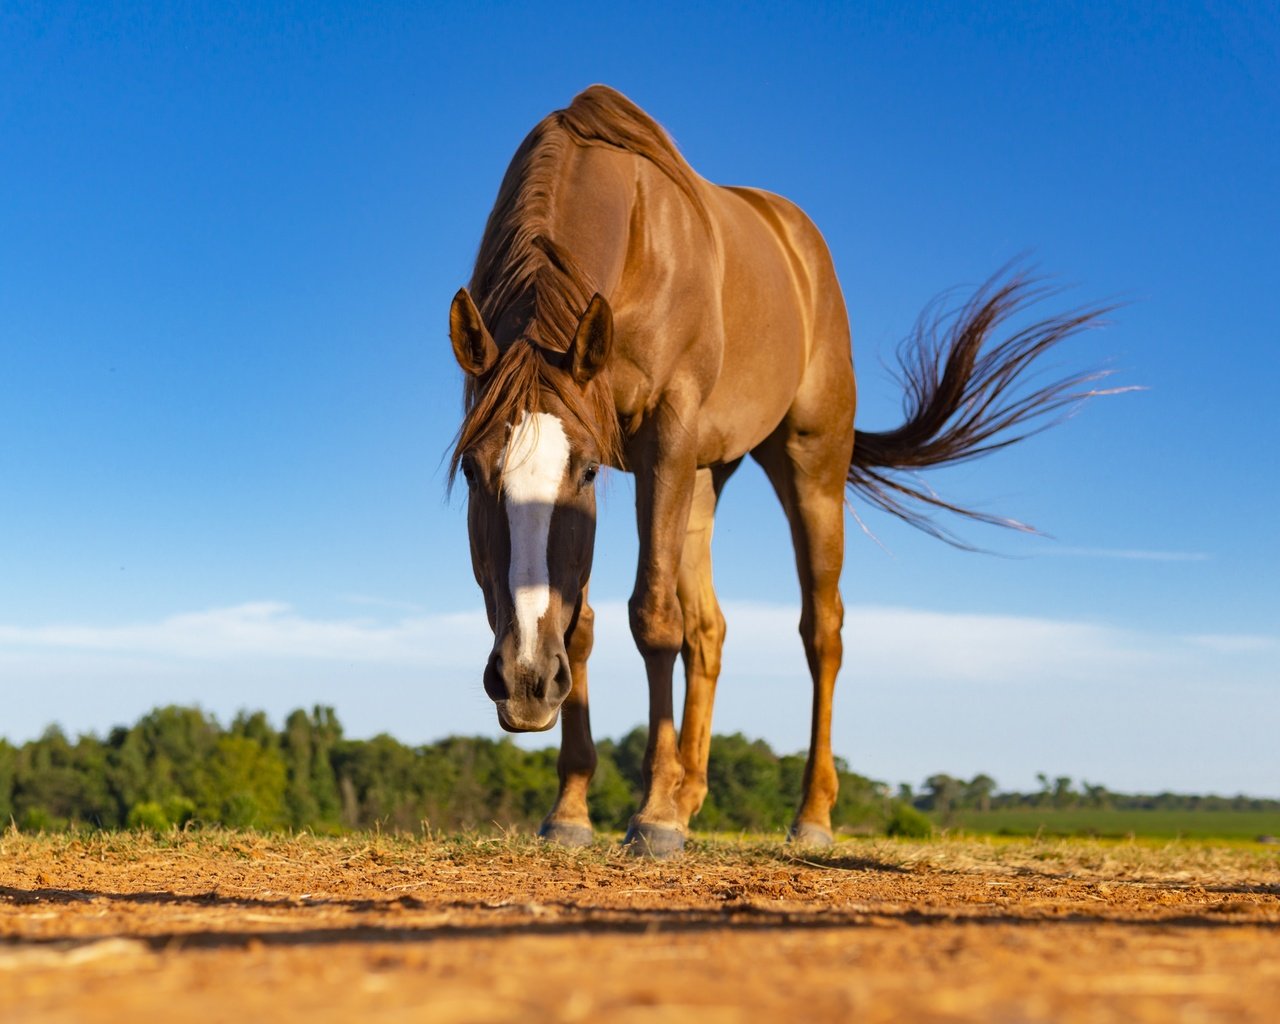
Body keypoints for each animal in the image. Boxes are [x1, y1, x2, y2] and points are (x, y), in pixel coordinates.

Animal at [448, 85, 1111, 855]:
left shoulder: (663, 439)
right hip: (706, 476)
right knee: (709, 629)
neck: (635, 236)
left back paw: (808, 814)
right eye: (473, 471)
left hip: (808, 464)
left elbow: (652, 617)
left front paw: (651, 815)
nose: (525, 679)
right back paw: (689, 795)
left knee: (821, 631)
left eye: (583, 473)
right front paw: (574, 808)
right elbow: (583, 622)